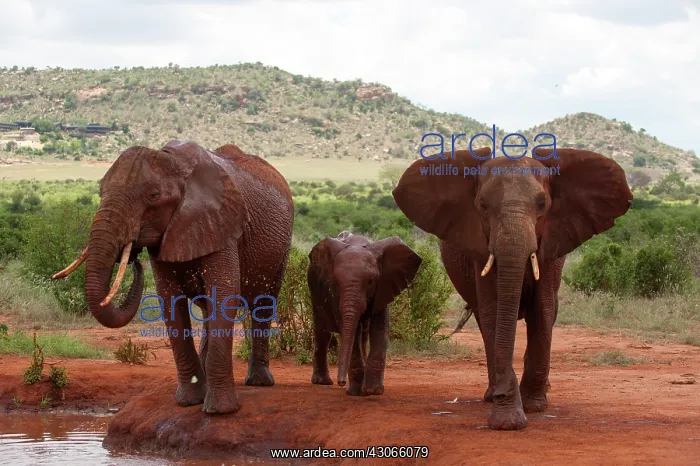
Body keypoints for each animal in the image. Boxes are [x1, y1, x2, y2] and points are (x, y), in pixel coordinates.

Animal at [52, 140, 294, 414]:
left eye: (153, 196)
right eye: (100, 192)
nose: (133, 256)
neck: (174, 162)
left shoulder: (223, 225)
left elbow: (223, 295)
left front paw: (220, 411)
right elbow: (170, 301)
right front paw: (188, 402)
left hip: (281, 249)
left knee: (263, 305)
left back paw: (259, 382)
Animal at [307, 231, 422, 396]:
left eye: (370, 281)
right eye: (335, 282)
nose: (341, 383)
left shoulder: (384, 286)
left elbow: (380, 327)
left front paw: (372, 390)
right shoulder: (334, 294)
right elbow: (350, 330)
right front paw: (356, 392)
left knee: (363, 332)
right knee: (323, 331)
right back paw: (322, 382)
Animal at [392, 147, 632, 430]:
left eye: (543, 205)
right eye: (482, 206)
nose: (502, 396)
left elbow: (543, 308)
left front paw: (534, 406)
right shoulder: (480, 249)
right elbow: (493, 311)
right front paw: (507, 418)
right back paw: (491, 394)